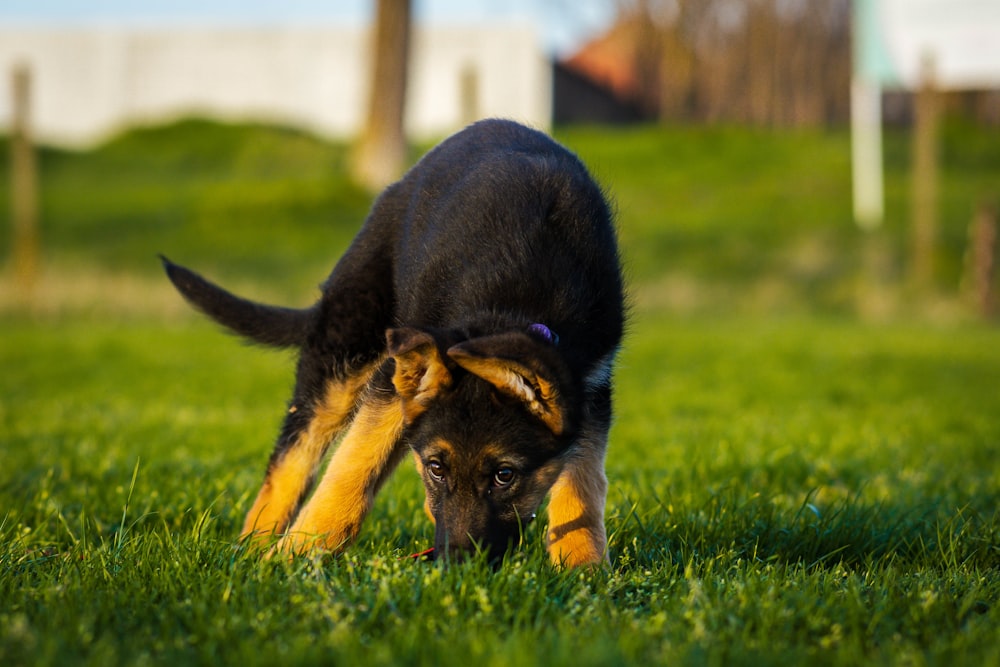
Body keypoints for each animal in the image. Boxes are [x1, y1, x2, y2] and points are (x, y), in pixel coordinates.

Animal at [164, 117, 624, 568]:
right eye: (437, 468)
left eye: (505, 475)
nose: (456, 566)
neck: (510, 308)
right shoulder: (391, 379)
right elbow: (353, 466)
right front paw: (300, 552)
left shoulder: (590, 387)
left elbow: (582, 483)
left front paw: (582, 566)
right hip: (345, 350)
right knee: (293, 458)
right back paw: (256, 548)